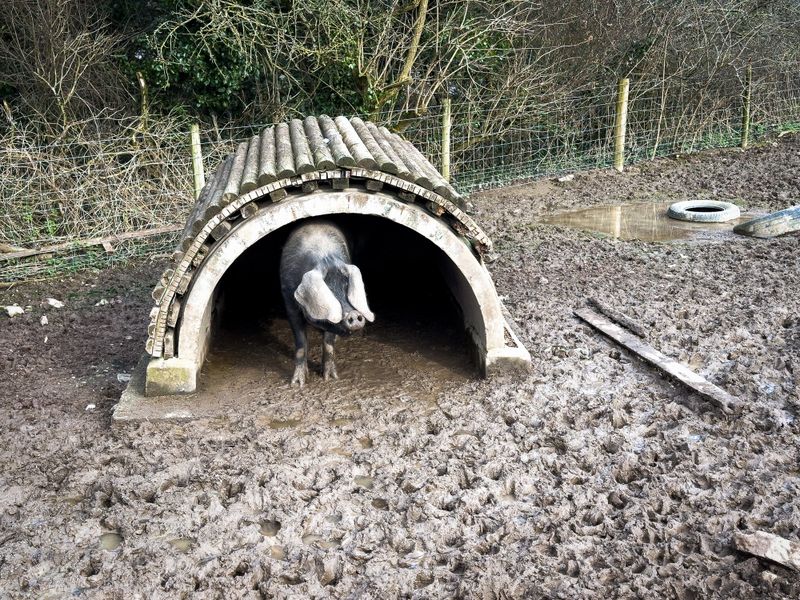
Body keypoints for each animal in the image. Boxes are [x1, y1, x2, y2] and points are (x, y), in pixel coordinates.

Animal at [279, 220, 375, 386]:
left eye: (347, 286)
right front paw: (298, 384)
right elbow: (300, 343)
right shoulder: (288, 300)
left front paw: (330, 378)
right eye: (329, 289)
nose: (354, 314)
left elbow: (328, 342)